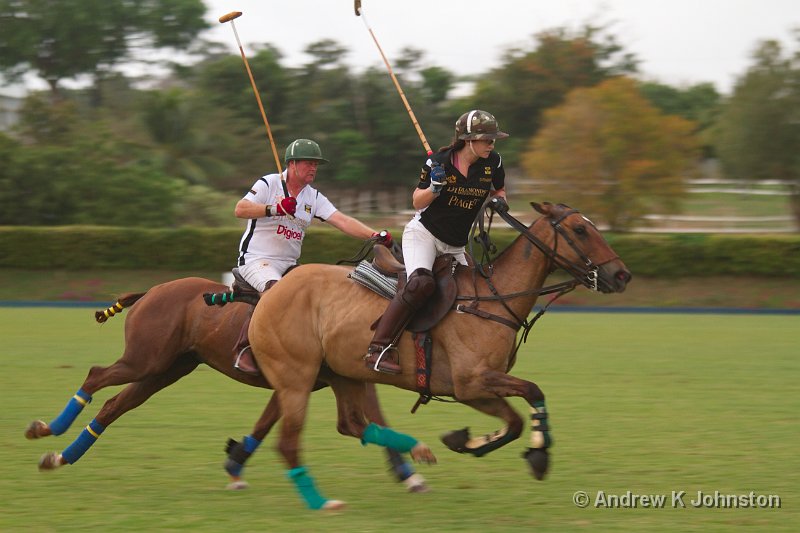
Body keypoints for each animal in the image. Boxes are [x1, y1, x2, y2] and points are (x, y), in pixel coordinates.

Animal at [23, 276, 424, 492]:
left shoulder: (317, 382)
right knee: (95, 376)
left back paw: (60, 456)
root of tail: (151, 291)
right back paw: (47, 430)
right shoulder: (302, 380)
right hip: (145, 359)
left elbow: (266, 424)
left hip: (166, 370)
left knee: (114, 405)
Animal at [250, 202, 632, 510]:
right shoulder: (471, 383)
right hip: (297, 378)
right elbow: (532, 392)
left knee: (351, 424)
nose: (622, 275)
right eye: (580, 229)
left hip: (343, 373)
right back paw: (320, 502)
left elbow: (515, 421)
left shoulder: (476, 390)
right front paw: (538, 453)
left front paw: (467, 441)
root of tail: (273, 288)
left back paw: (417, 451)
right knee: (288, 443)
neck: (493, 299)